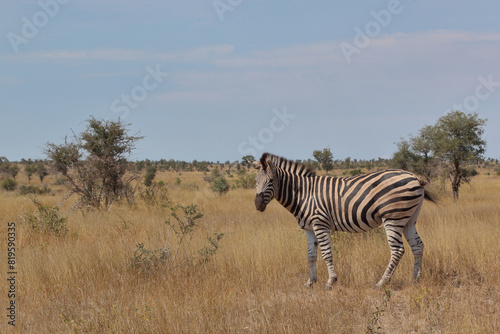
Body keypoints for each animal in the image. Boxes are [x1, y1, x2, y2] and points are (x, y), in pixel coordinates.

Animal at [252, 153, 436, 288]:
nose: (258, 204)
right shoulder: (309, 228)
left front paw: (330, 281)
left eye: (271, 181)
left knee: (398, 250)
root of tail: (415, 177)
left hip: (393, 217)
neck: (304, 194)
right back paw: (415, 279)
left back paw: (381, 282)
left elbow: (326, 253)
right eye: (255, 181)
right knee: (418, 246)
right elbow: (311, 256)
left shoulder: (320, 223)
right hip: (409, 219)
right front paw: (310, 282)